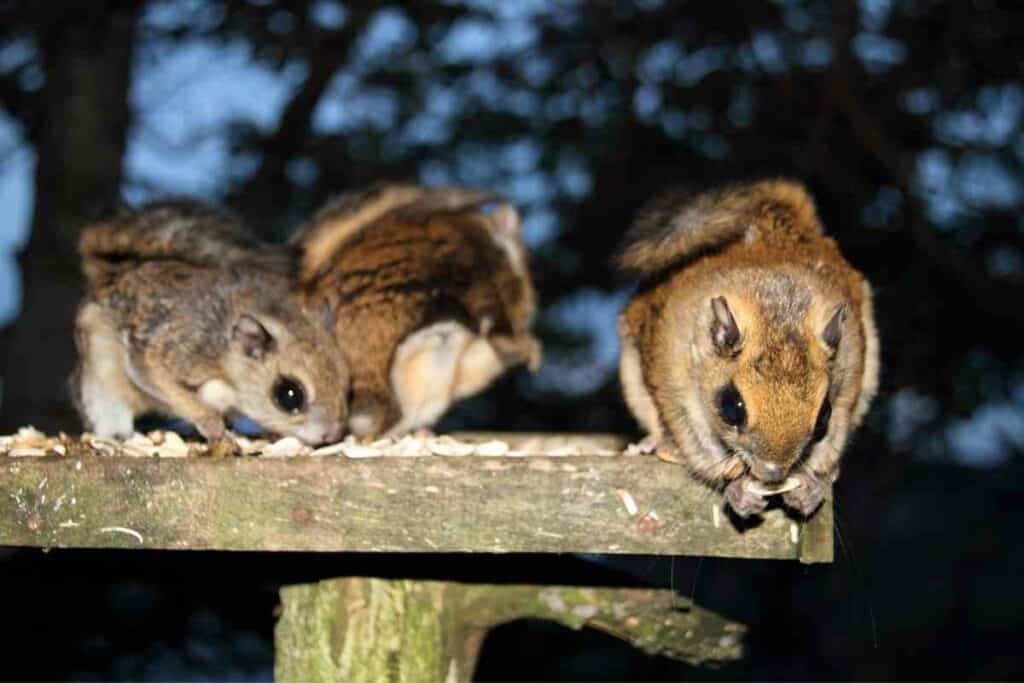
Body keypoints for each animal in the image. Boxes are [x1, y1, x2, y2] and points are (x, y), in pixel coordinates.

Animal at [71, 200, 352, 448]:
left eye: (346, 387)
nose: (332, 435)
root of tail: (115, 273)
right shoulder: (170, 352)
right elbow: (165, 383)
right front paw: (213, 425)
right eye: (289, 395)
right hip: (100, 383)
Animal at [614, 179, 880, 516]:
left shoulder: (849, 382)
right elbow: (701, 448)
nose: (773, 473)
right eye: (731, 407)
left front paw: (809, 486)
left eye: (824, 417)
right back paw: (650, 443)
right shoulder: (675, 385)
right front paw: (737, 489)